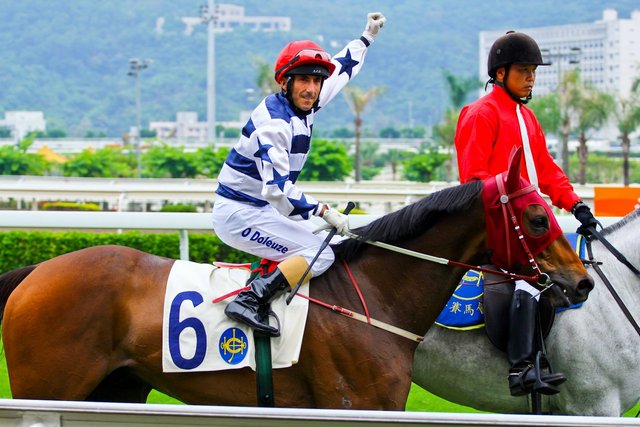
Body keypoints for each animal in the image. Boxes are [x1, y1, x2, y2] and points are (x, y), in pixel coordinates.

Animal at [0, 149, 593, 409]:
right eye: (537, 218)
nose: (581, 282)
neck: (373, 298)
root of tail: (37, 271)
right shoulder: (356, 407)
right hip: (47, 388)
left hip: (115, 388)